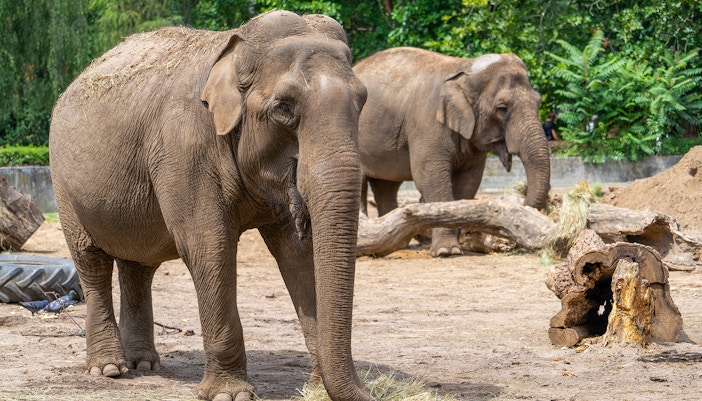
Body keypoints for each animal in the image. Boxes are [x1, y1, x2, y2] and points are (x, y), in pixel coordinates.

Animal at [49, 11, 371, 401]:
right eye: (283, 107)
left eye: (362, 101)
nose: (372, 390)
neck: (235, 47)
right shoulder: (183, 147)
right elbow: (209, 246)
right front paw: (231, 394)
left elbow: (298, 253)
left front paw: (316, 389)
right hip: (63, 184)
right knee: (90, 261)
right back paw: (110, 369)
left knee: (137, 265)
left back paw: (145, 364)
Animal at [354, 47, 550, 257]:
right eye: (502, 109)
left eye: (538, 102)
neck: (465, 68)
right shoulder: (427, 124)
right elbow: (430, 177)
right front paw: (446, 251)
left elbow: (469, 182)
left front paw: (455, 246)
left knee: (386, 185)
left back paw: (398, 244)